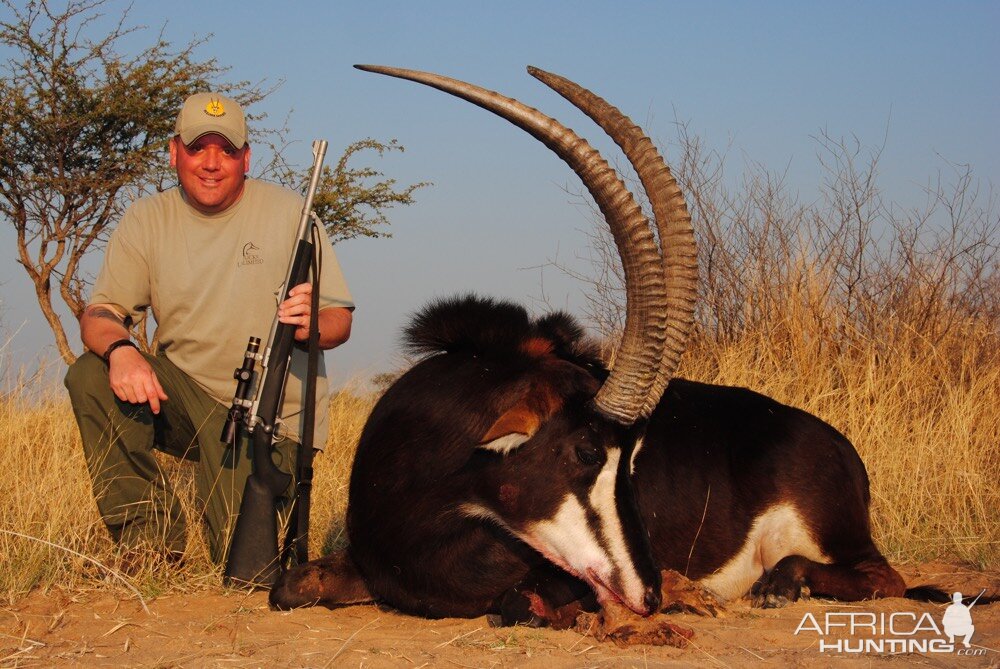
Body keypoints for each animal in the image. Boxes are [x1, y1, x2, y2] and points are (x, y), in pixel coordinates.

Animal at [272, 65, 928, 624]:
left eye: (631, 461)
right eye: (588, 451)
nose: (651, 593)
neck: (425, 490)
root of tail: (839, 447)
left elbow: (518, 603)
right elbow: (289, 586)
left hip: (832, 536)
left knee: (884, 576)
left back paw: (782, 585)